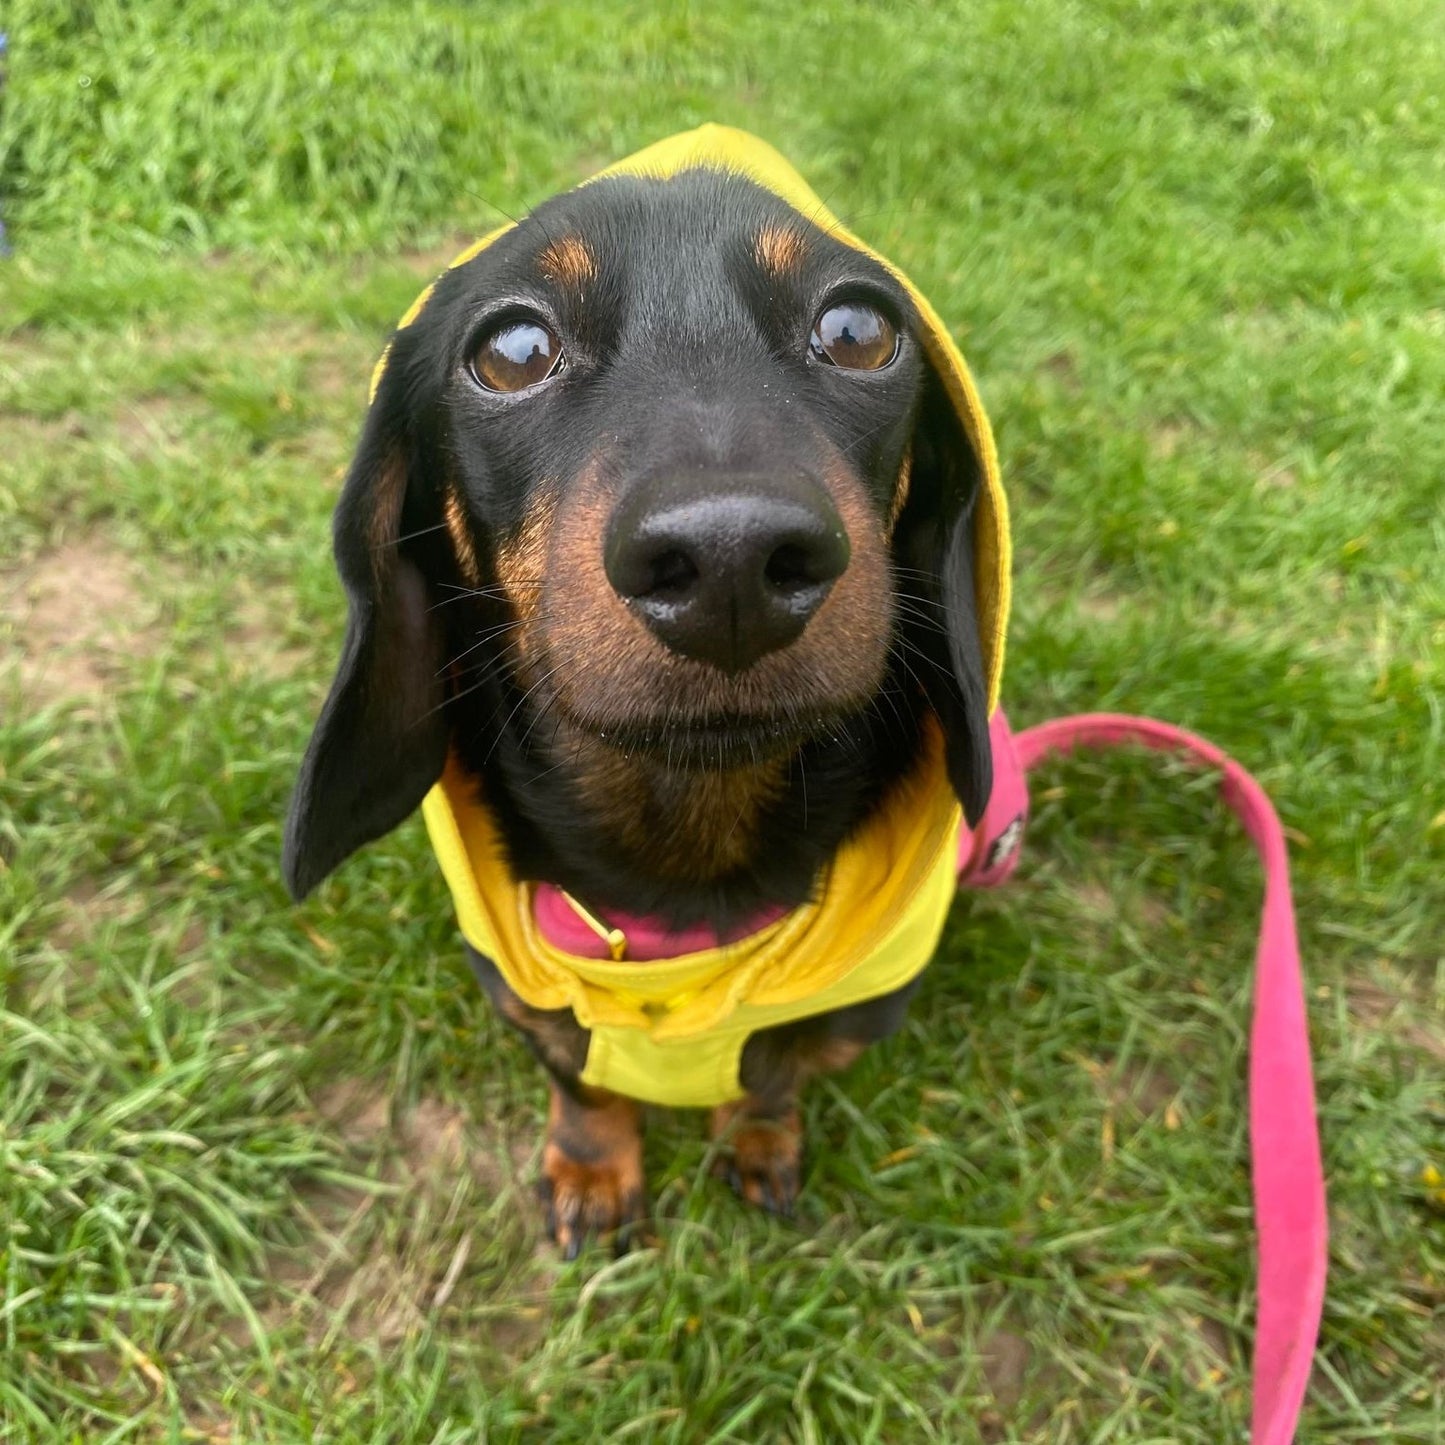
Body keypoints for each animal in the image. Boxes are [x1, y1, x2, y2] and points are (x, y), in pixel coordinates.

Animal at [278, 127, 1005, 1254]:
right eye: (512, 350)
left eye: (857, 329)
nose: (729, 561)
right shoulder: (524, 989)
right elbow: (580, 1080)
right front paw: (590, 1168)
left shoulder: (848, 1011)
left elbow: (770, 1078)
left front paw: (755, 1140)